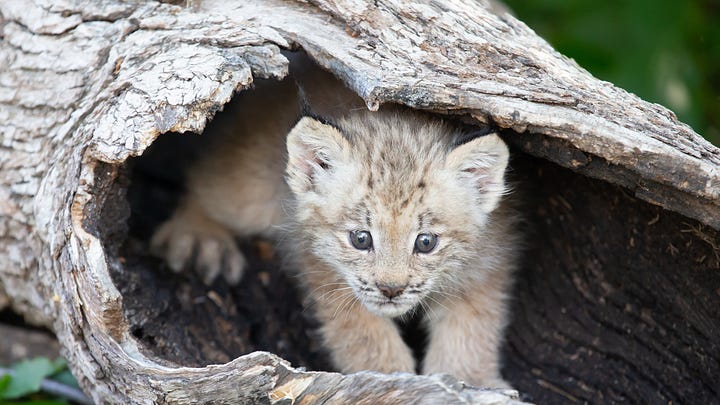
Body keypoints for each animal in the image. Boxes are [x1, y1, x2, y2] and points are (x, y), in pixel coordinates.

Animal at [152, 55, 516, 386]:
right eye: (361, 239)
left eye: (426, 242)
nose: (391, 290)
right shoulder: (325, 269)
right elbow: (364, 336)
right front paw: (389, 378)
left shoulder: (487, 264)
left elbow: (471, 331)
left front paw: (470, 381)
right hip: (252, 191)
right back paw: (199, 239)